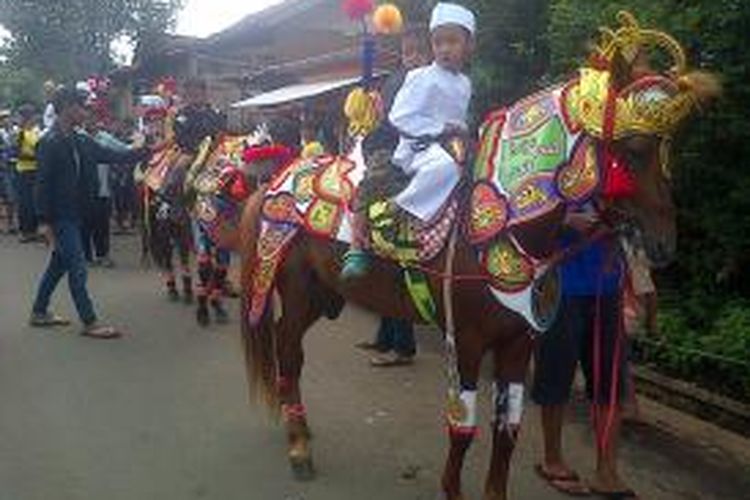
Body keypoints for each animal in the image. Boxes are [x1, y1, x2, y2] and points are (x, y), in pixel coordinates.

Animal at [238, 14, 720, 500]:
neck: (500, 225)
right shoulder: (467, 340)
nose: (663, 244)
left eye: (668, 149)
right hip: (296, 290)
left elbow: (507, 431)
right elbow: (463, 430)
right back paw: (299, 448)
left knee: (288, 349)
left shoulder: (518, 343)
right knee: (288, 350)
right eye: (635, 148)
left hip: (322, 295)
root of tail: (275, 180)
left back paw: (300, 428)